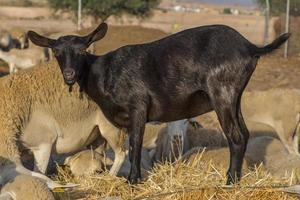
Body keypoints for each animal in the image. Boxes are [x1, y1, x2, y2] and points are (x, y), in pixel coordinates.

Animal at [28, 23, 290, 184]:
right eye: (57, 52)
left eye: (82, 51)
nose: (69, 75)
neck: (103, 73)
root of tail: (250, 46)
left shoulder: (138, 108)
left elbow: (134, 145)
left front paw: (133, 180)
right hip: (235, 98)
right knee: (244, 133)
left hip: (222, 93)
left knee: (235, 136)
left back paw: (229, 181)